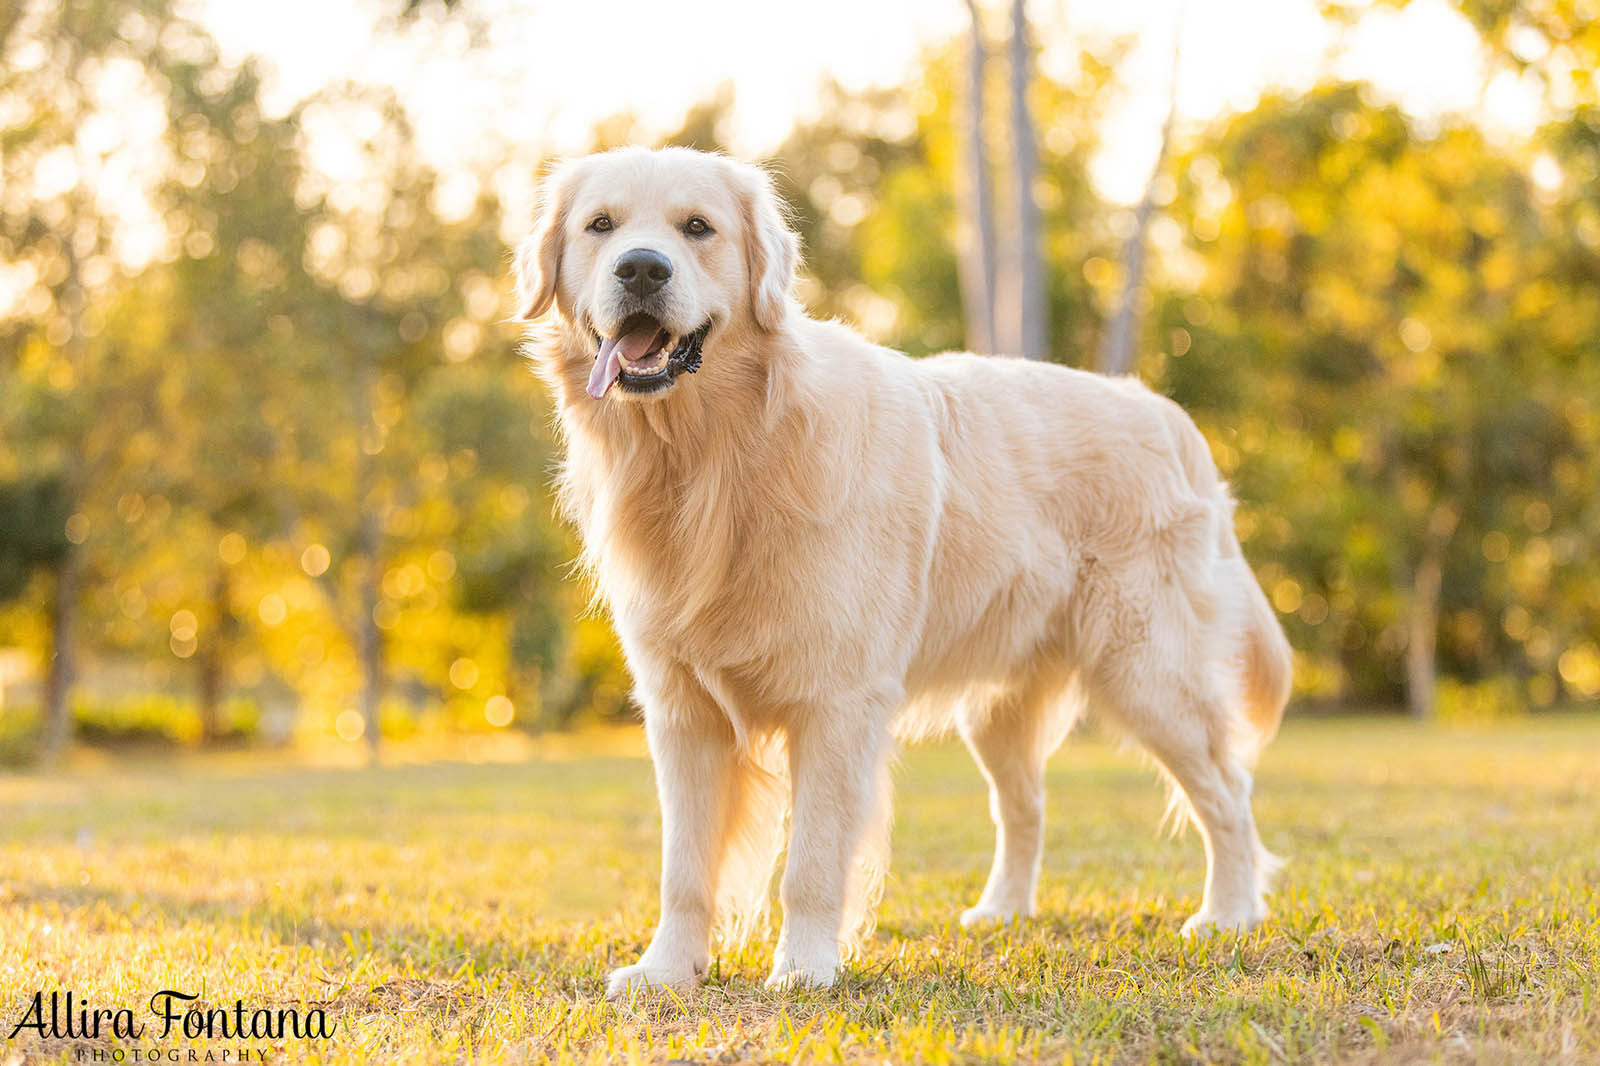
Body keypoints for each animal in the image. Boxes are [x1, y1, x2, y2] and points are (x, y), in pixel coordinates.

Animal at [518, 145, 1292, 992]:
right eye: (601, 226)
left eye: (697, 228)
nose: (641, 269)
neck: (718, 455)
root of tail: (1165, 411)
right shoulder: (682, 710)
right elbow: (683, 867)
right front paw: (665, 970)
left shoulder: (837, 702)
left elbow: (811, 862)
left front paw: (804, 970)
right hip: (1001, 706)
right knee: (1026, 807)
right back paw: (1003, 912)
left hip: (1148, 673)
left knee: (1229, 793)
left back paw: (1229, 914)